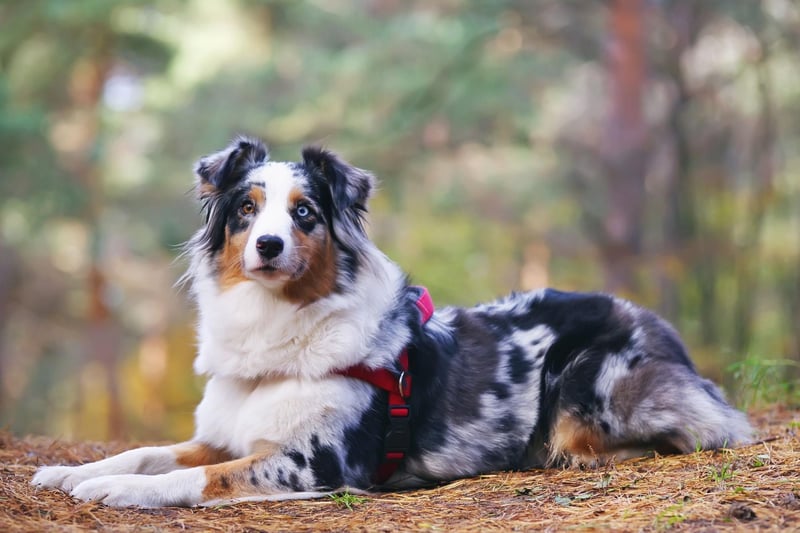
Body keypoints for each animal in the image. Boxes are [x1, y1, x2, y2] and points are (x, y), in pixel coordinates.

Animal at [31, 135, 752, 504]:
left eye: (304, 213)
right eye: (246, 210)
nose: (269, 246)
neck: (279, 329)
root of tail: (659, 326)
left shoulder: (314, 463)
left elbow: (195, 477)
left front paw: (118, 490)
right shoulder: (227, 435)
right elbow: (149, 450)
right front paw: (73, 472)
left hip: (586, 381)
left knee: (695, 431)